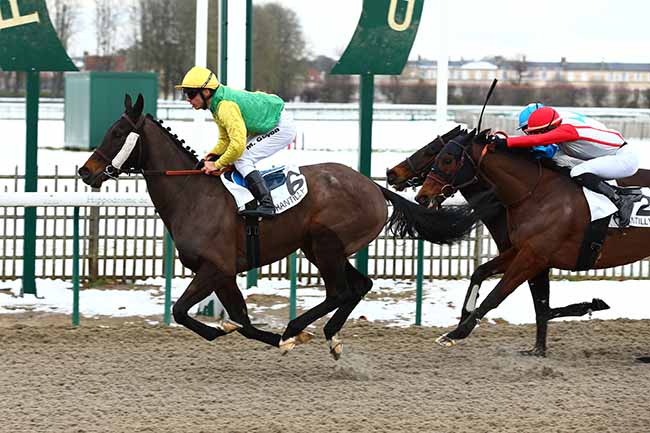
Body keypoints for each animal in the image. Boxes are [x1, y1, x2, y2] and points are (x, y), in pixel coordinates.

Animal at [78, 94, 485, 359]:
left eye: (117, 133)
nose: (85, 171)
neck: (192, 194)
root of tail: (374, 187)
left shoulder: (215, 268)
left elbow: (181, 312)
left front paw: (269, 336)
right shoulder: (224, 273)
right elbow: (241, 320)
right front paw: (259, 335)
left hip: (324, 243)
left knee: (340, 291)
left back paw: (297, 327)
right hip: (323, 248)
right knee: (360, 286)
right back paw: (330, 336)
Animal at [414, 128, 650, 357]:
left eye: (446, 159)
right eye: (436, 155)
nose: (421, 197)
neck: (537, 194)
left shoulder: (533, 258)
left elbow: (497, 296)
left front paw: (456, 333)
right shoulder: (522, 250)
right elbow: (483, 272)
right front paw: (537, 349)